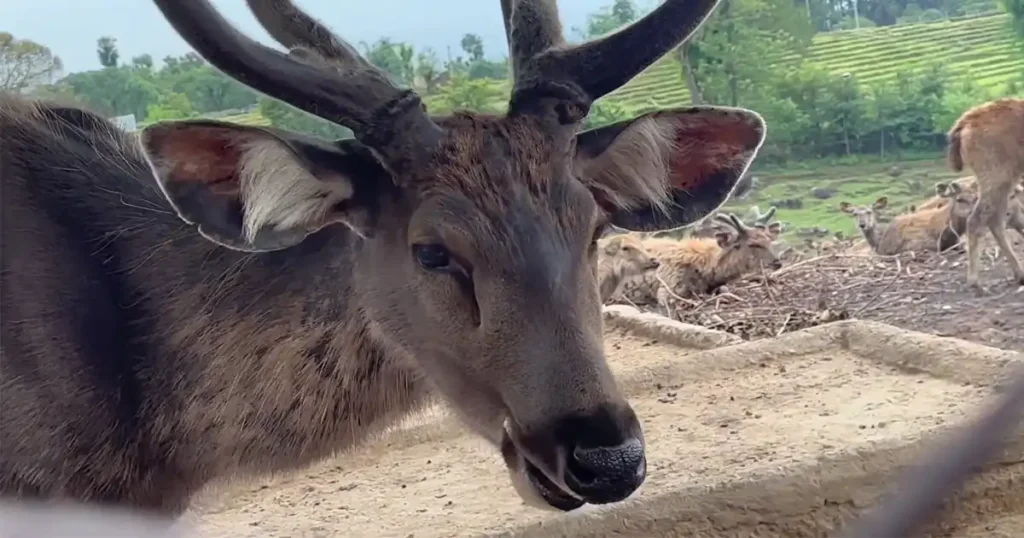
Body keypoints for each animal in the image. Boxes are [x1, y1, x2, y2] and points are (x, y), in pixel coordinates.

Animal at [942, 97, 1024, 286]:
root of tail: (966, 122)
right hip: (997, 179)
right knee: (977, 220)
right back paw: (974, 281)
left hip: (1004, 182)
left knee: (995, 221)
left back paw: (1019, 274)